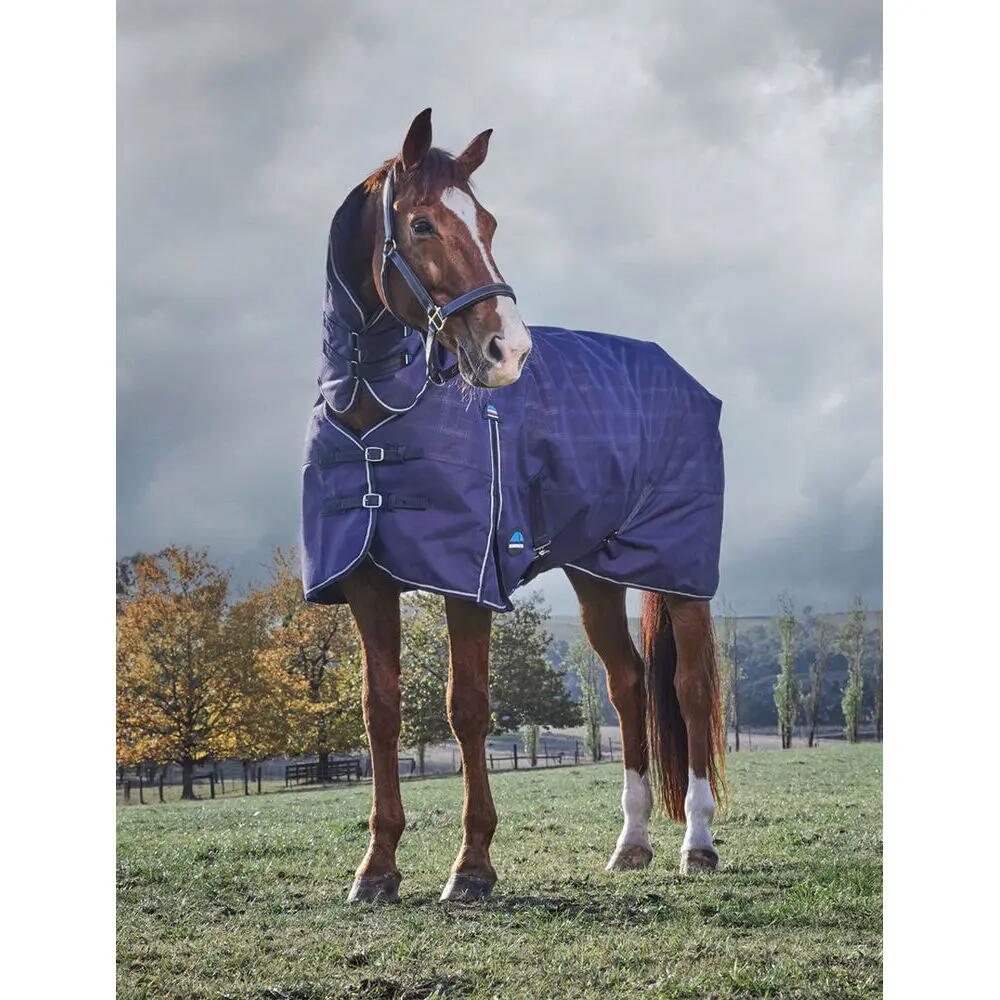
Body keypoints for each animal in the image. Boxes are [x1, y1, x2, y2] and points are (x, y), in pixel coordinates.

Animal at [301, 108, 725, 903]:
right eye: (422, 224)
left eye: (488, 222)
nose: (509, 351)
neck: (375, 413)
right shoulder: (366, 579)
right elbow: (380, 713)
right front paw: (377, 868)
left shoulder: (466, 580)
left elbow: (466, 708)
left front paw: (471, 867)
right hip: (595, 575)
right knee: (628, 686)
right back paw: (631, 844)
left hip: (679, 574)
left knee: (687, 691)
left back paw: (699, 844)